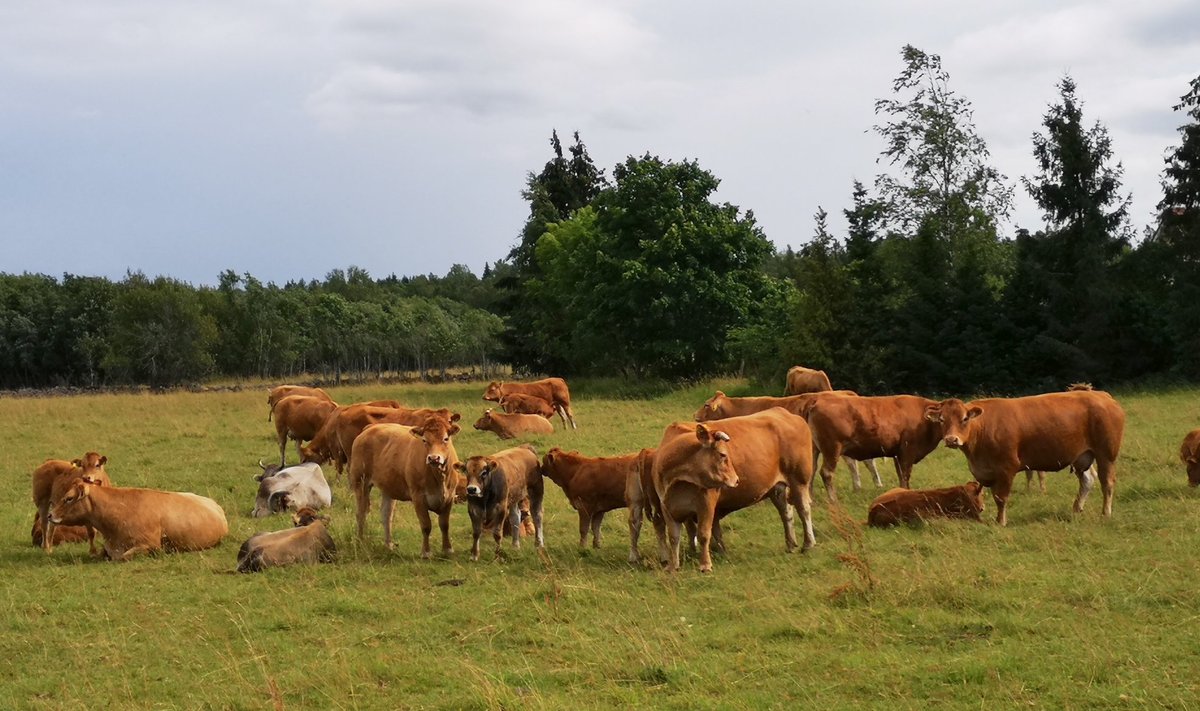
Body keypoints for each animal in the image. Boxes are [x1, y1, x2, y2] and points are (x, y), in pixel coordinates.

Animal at [350, 413, 460, 557]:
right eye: (424, 440)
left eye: (445, 439)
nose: (434, 458)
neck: (438, 476)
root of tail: (370, 428)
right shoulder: (418, 497)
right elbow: (426, 525)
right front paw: (426, 552)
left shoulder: (449, 497)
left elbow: (444, 525)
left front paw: (447, 549)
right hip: (360, 482)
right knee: (361, 513)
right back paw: (361, 541)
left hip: (388, 487)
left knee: (386, 515)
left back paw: (389, 545)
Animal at [801, 391, 940, 502]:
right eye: (942, 418)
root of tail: (817, 400)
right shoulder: (907, 452)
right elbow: (905, 474)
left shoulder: (897, 454)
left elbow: (901, 475)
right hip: (832, 449)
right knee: (827, 473)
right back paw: (833, 499)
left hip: (814, 450)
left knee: (812, 471)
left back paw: (811, 499)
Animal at [921, 391, 1128, 526]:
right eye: (942, 420)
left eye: (964, 419)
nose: (951, 439)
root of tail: (1102, 395)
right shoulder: (988, 471)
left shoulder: (1006, 468)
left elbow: (1001, 498)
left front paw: (1001, 522)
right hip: (1081, 456)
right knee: (1087, 480)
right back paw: (1077, 509)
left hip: (1106, 454)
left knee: (1107, 483)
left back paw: (1106, 513)